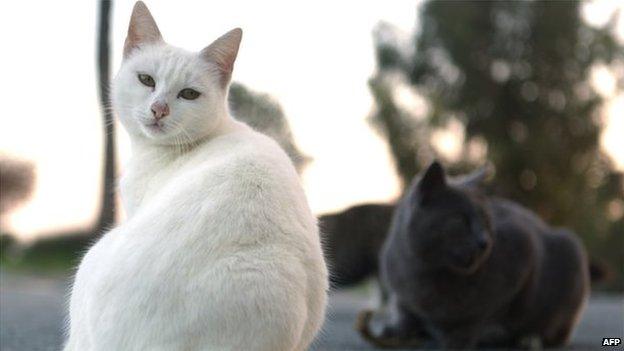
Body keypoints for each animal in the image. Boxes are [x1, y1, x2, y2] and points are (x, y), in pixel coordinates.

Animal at [356, 162, 588, 350]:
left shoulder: (524, 248)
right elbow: (404, 310)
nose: (484, 242)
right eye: (460, 219)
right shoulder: (400, 290)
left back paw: (527, 339)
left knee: (555, 333)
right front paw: (396, 329)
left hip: (571, 249)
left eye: (487, 221)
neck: (423, 274)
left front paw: (464, 336)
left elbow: (486, 313)